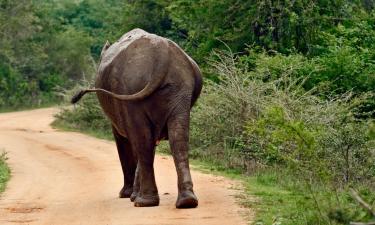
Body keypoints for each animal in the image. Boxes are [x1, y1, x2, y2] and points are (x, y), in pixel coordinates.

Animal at [72, 28, 204, 209]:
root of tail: (162, 52)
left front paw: (128, 195)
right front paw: (132, 195)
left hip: (132, 88)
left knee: (143, 141)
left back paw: (144, 202)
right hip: (179, 87)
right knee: (177, 137)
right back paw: (187, 201)